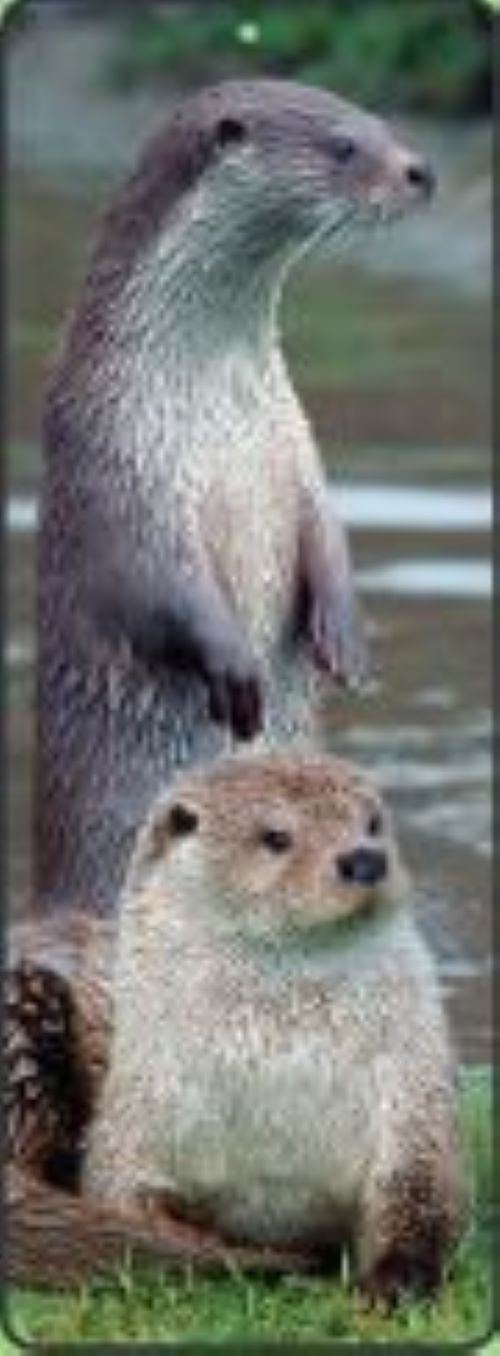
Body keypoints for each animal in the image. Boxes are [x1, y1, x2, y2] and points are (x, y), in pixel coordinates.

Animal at [37, 79, 435, 915]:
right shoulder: (117, 463)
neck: (217, 409)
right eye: (344, 145)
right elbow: (155, 584)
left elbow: (328, 531)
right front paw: (237, 668)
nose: (422, 171)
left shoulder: (295, 448)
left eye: (382, 123)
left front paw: (346, 637)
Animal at [82, 750, 464, 1301]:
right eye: (276, 836)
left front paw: (396, 1281)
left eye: (373, 823)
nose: (365, 859)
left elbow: (420, 1192)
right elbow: (130, 1209)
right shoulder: (135, 1123)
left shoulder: (413, 1097)